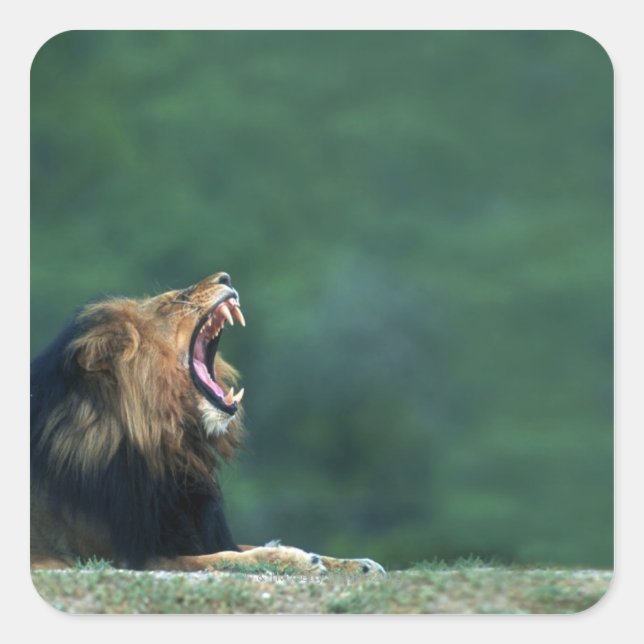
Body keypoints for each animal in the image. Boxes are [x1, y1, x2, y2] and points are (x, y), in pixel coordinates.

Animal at [31, 272, 384, 576]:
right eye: (173, 301)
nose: (225, 277)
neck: (171, 445)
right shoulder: (125, 555)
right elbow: (226, 558)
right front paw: (295, 560)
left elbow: (241, 546)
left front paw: (356, 564)